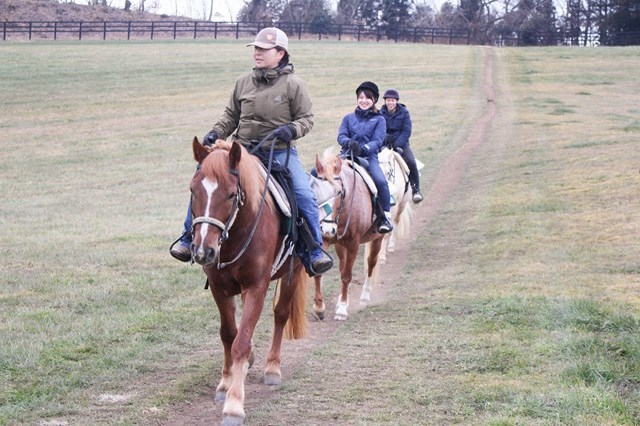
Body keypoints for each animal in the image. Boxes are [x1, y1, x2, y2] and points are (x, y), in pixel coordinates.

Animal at [188, 138, 308, 424]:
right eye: (193, 190)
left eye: (232, 194)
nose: (203, 250)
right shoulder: (219, 289)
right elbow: (229, 334)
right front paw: (225, 383)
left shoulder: (256, 287)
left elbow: (241, 342)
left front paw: (234, 405)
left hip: (293, 272)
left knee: (281, 314)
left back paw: (272, 367)